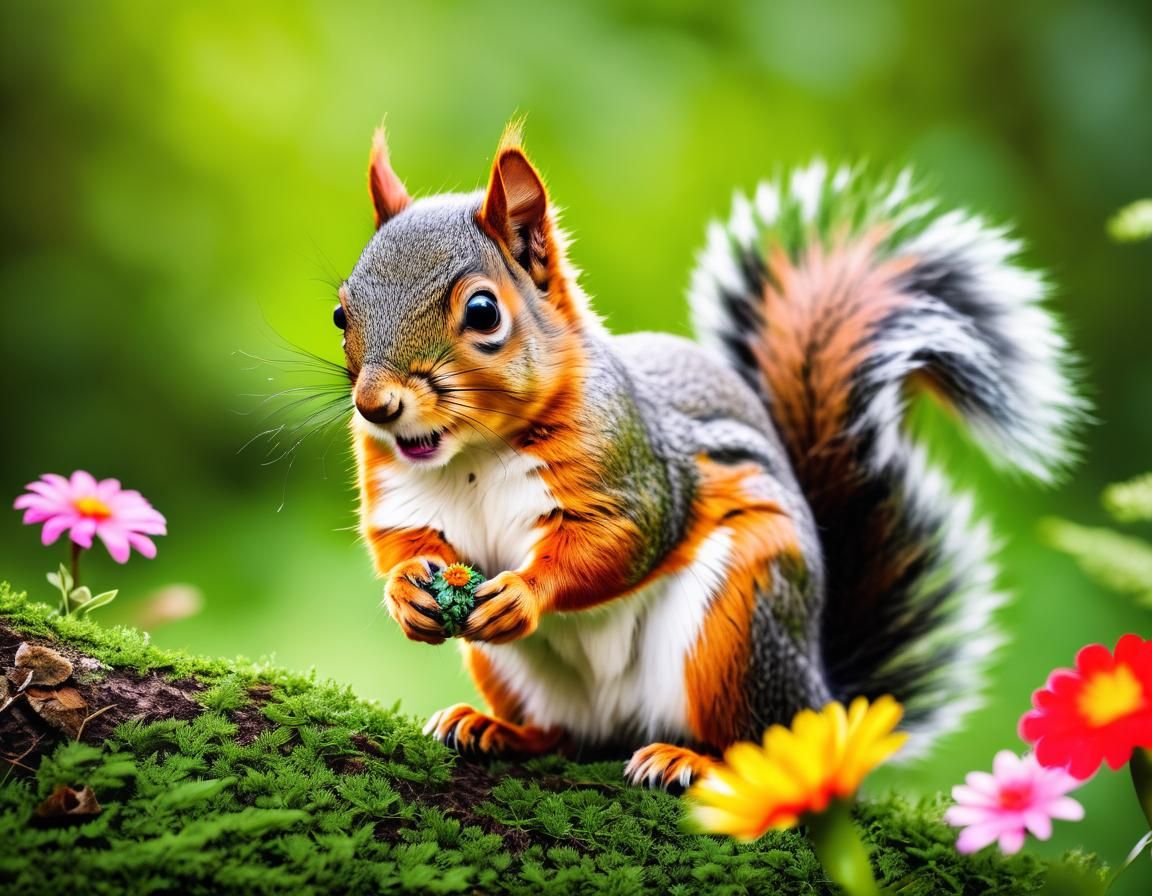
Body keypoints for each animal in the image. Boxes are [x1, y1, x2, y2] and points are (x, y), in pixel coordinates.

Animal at [338, 123, 1081, 789]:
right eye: (343, 312)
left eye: (485, 313)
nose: (376, 406)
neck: (477, 451)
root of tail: (823, 701)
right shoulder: (397, 489)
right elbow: (398, 541)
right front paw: (407, 592)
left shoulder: (633, 468)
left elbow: (618, 539)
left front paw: (523, 592)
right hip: (517, 673)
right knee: (564, 737)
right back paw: (496, 729)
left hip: (739, 624)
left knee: (755, 746)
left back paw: (692, 762)